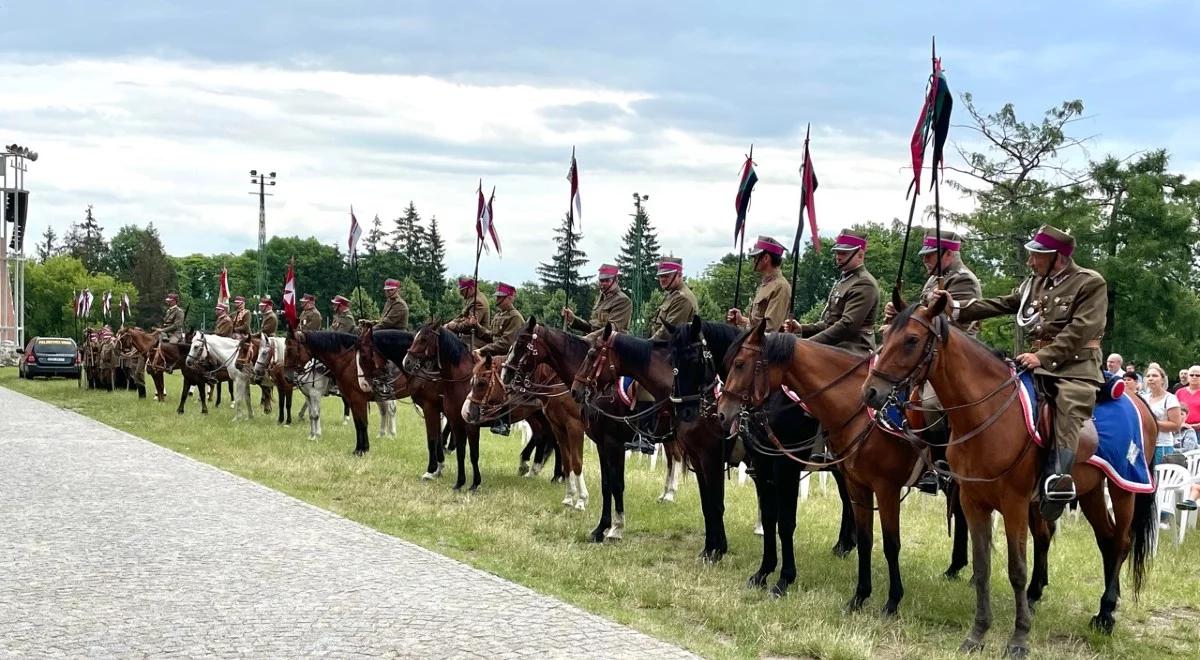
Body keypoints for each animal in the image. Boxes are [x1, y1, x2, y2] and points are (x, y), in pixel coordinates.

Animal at [864, 301, 1161, 657]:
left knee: (1121, 542)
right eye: (885, 335)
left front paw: (1019, 639)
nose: (871, 392)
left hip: (1123, 488)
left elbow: (1016, 570)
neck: (987, 413)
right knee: (1105, 539)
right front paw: (977, 633)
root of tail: (1136, 399)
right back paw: (1093, 607)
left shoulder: (1015, 504)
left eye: (911, 340)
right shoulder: (973, 501)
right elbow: (982, 568)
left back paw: (1106, 613)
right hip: (1089, 492)